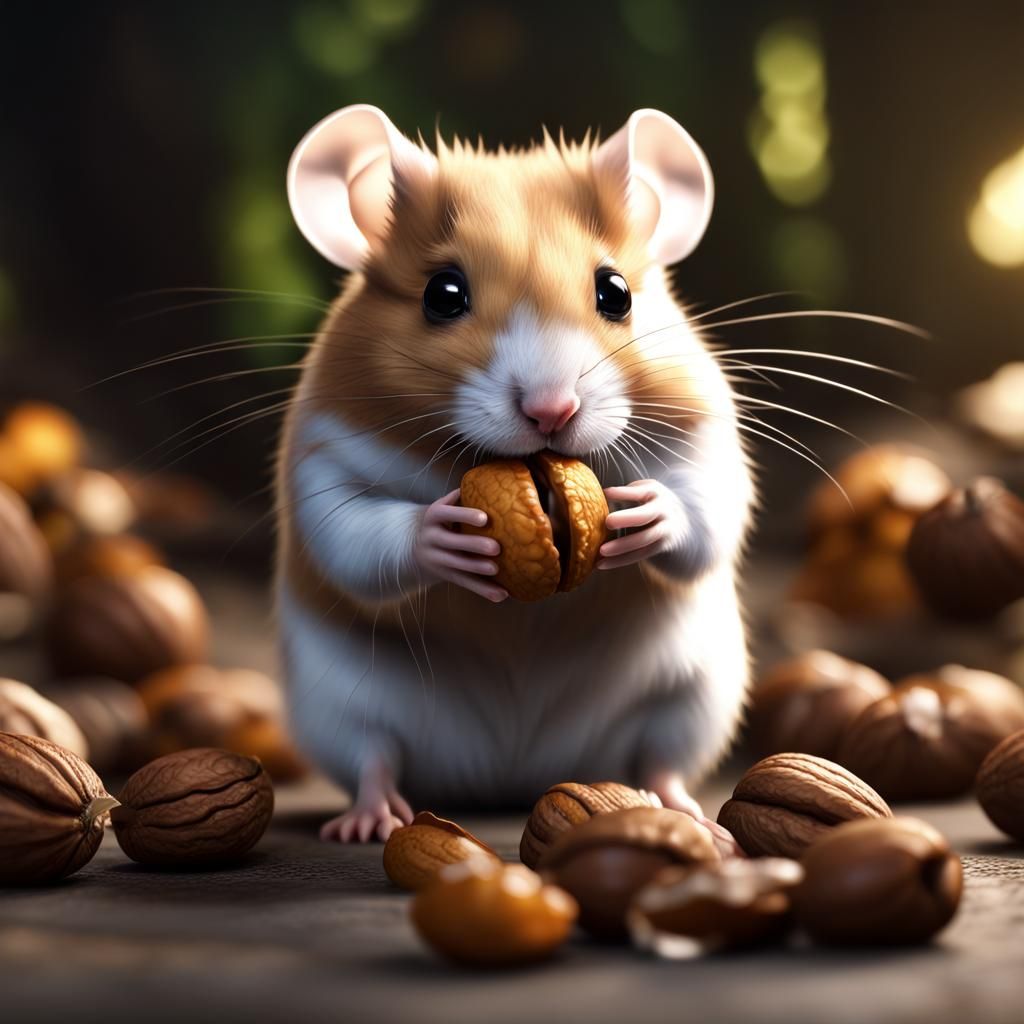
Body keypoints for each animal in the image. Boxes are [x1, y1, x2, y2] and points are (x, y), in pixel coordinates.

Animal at [277, 105, 754, 843]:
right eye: (442, 294)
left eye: (616, 291)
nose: (551, 410)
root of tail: (512, 773)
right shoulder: (324, 454)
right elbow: (354, 534)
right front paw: (443, 534)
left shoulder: (707, 433)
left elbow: (706, 512)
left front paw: (647, 514)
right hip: (337, 702)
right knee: (372, 756)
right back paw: (370, 818)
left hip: (694, 695)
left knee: (661, 758)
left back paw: (687, 812)